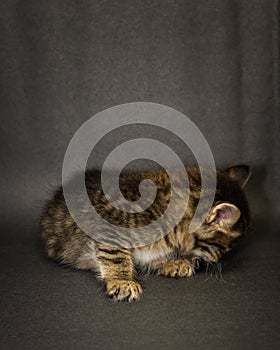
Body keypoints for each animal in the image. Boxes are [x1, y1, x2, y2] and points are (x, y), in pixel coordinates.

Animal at [40, 165, 250, 300]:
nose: (217, 260)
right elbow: (116, 256)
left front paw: (174, 262)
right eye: (226, 248)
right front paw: (122, 281)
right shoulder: (110, 230)